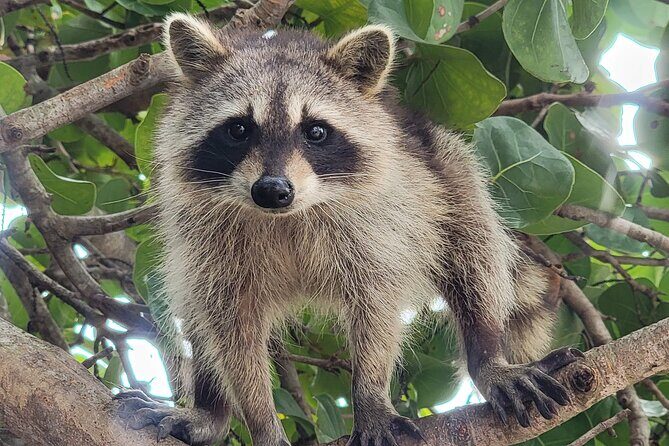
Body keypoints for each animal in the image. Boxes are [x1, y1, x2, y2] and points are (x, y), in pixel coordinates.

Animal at [115, 13, 582, 446]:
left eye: (316, 131)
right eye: (238, 129)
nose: (272, 190)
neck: (287, 217)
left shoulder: (379, 222)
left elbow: (377, 305)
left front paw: (371, 396)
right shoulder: (206, 236)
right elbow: (230, 327)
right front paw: (260, 419)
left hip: (447, 167)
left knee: (474, 250)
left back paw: (488, 356)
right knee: (194, 306)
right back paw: (210, 411)